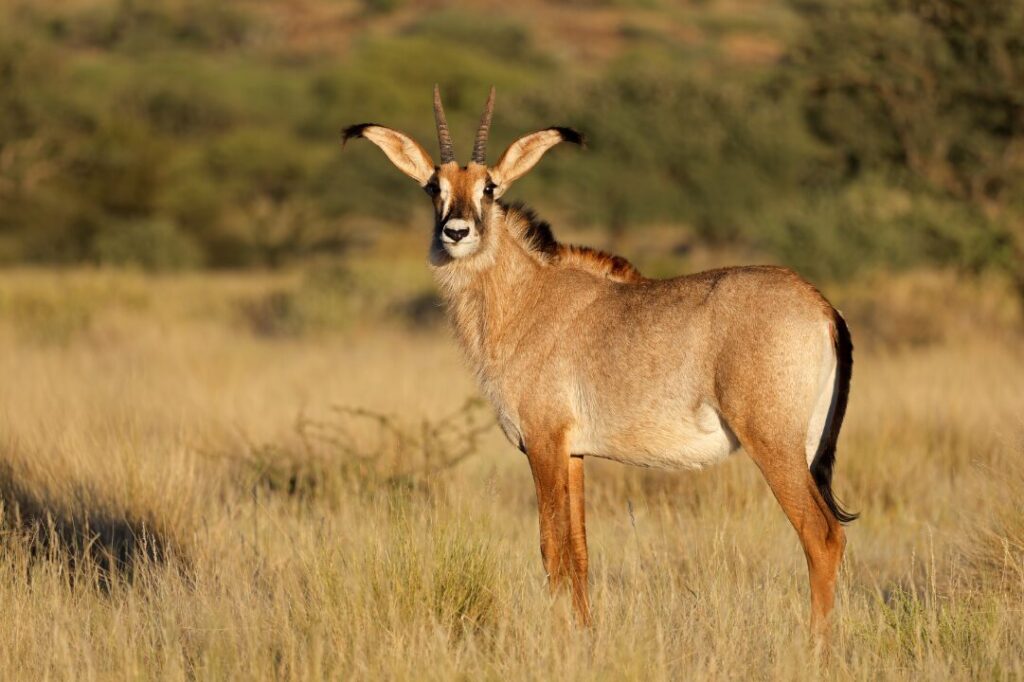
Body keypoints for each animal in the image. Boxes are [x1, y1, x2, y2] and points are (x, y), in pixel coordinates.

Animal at [341, 86, 857, 635]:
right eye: (432, 187)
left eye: (489, 188)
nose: (455, 233)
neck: (527, 298)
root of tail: (822, 307)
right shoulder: (574, 453)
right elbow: (580, 552)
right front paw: (585, 635)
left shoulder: (543, 442)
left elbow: (551, 549)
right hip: (804, 448)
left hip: (773, 444)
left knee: (821, 536)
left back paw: (815, 646)